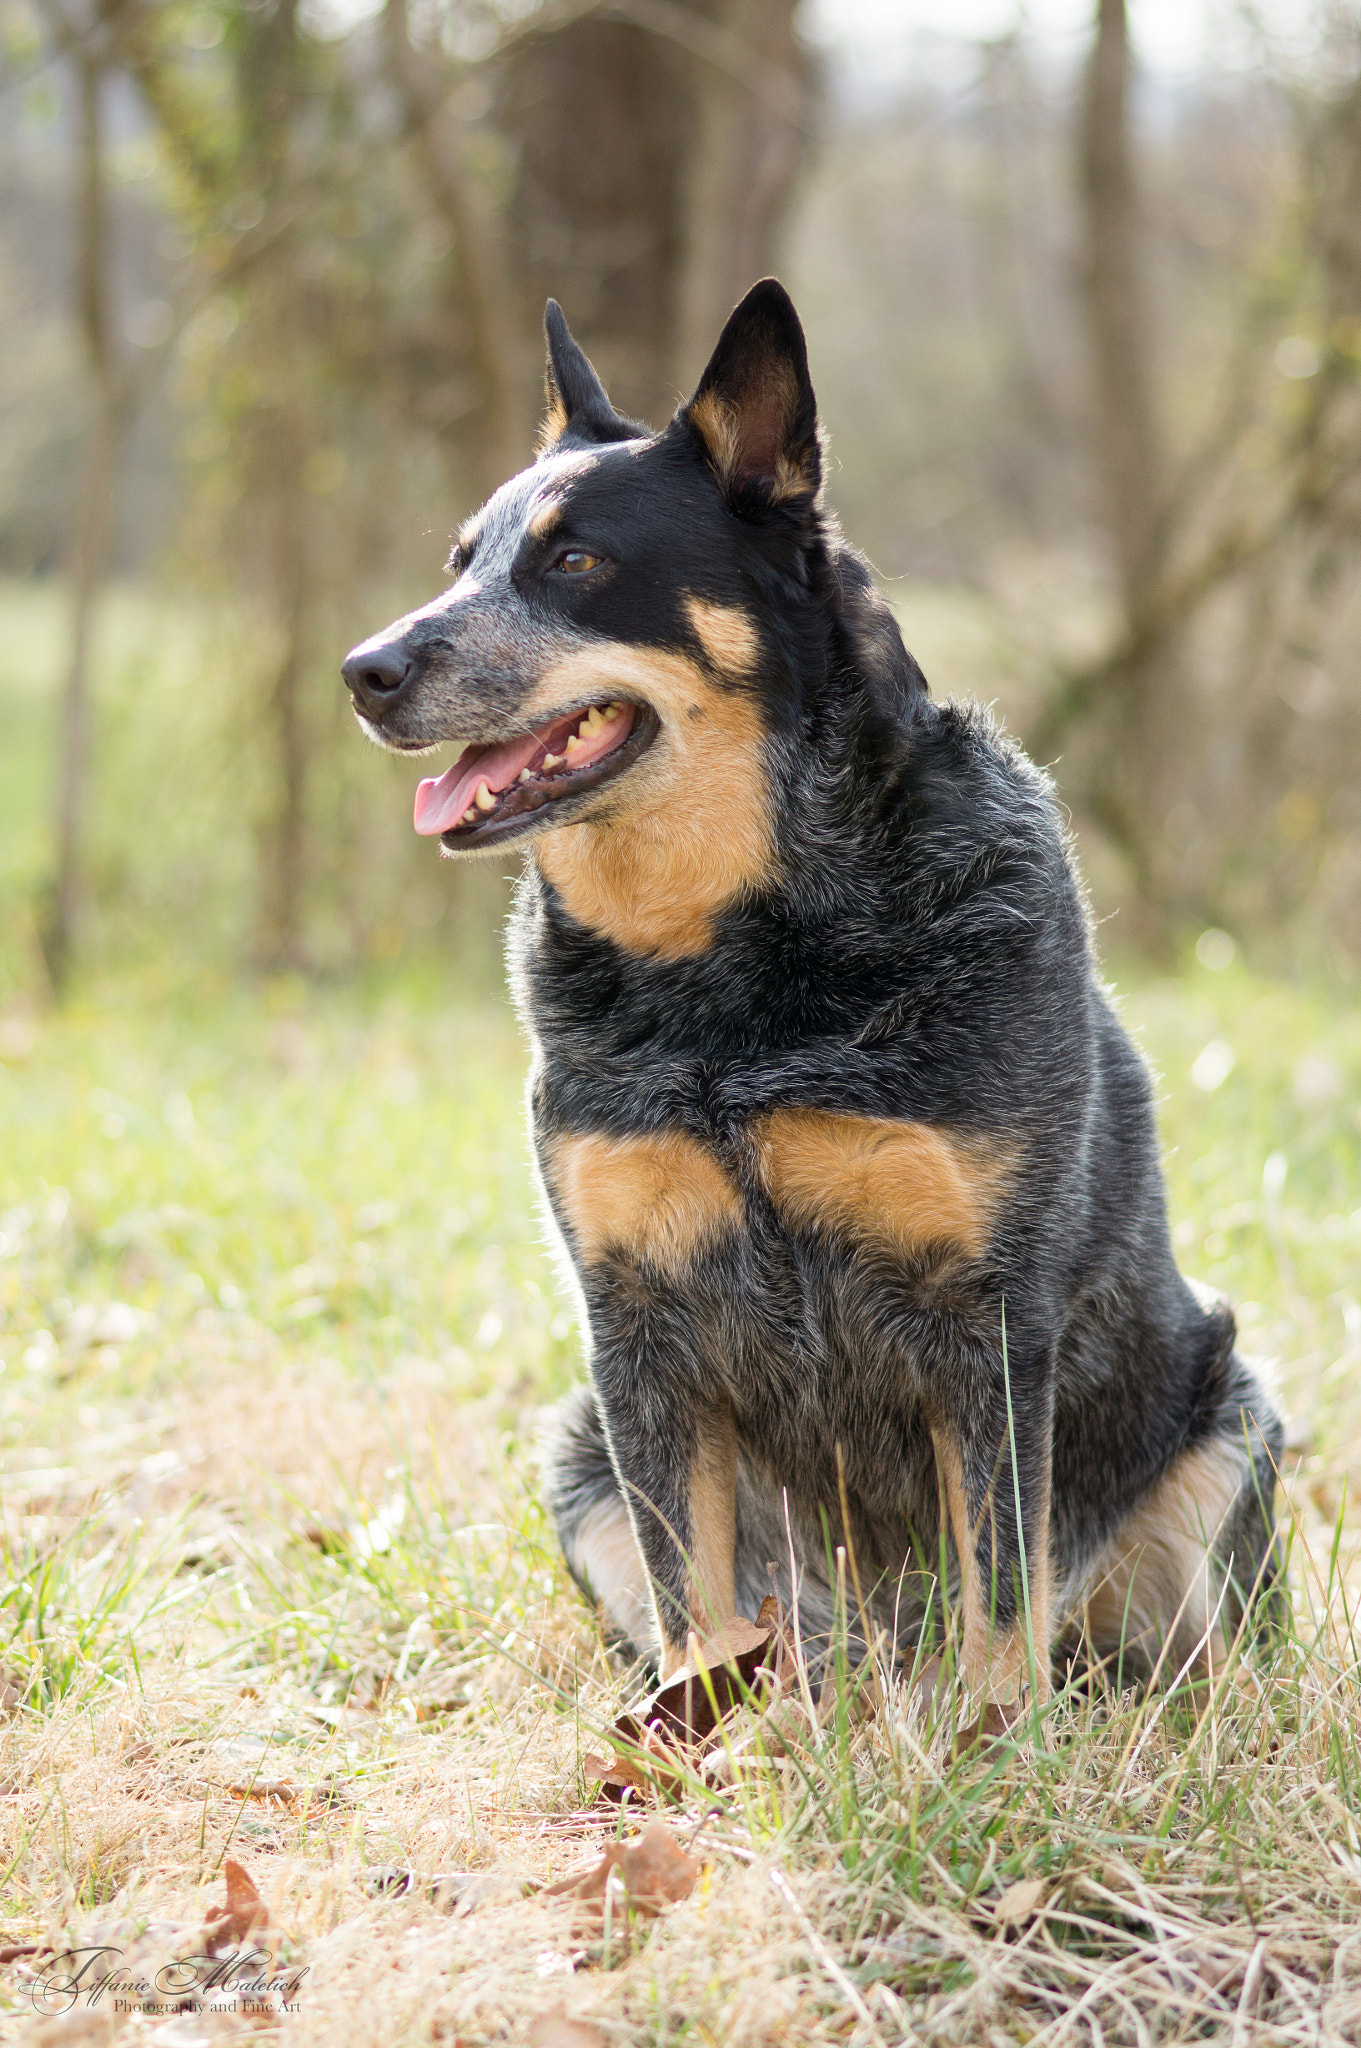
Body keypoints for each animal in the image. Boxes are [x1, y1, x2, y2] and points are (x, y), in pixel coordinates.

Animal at [341, 280, 1285, 1703]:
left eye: (575, 562)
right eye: (461, 559)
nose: (364, 669)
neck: (728, 972)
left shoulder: (986, 1314)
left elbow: (998, 1588)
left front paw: (993, 1738)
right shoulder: (636, 1326)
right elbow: (692, 1601)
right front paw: (704, 1740)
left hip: (1225, 1421)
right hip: (577, 1453)